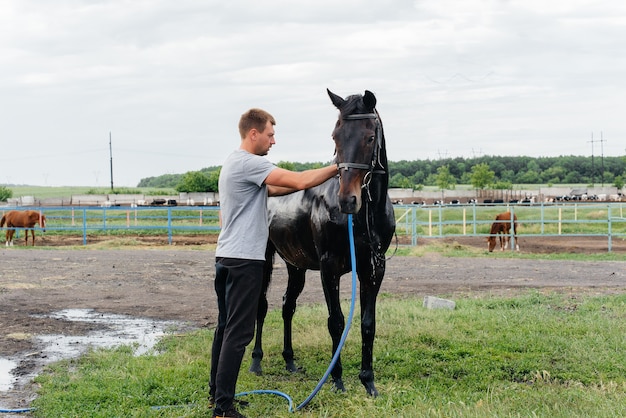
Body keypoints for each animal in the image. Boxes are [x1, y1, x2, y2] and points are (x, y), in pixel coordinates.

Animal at [250, 88, 392, 396]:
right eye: (335, 136)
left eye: (370, 137)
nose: (347, 200)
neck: (364, 216)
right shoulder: (330, 267)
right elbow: (336, 322)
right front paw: (337, 379)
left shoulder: (373, 268)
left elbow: (368, 323)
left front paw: (368, 381)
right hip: (264, 258)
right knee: (262, 305)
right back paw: (256, 362)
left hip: (296, 265)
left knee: (287, 306)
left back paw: (290, 361)